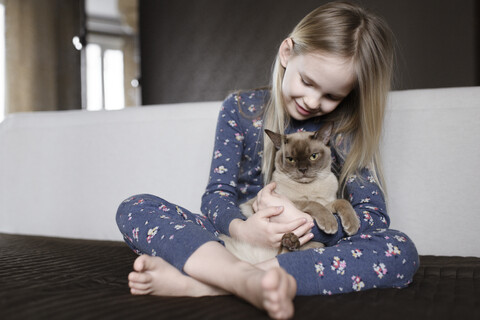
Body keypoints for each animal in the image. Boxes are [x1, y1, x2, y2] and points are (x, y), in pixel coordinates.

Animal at [219, 126, 358, 264]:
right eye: (290, 159)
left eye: (313, 156)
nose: (303, 170)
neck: (309, 187)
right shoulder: (289, 201)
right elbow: (313, 203)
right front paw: (330, 224)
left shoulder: (327, 203)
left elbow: (342, 202)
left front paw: (352, 225)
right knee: (281, 252)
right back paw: (290, 241)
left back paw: (291, 241)